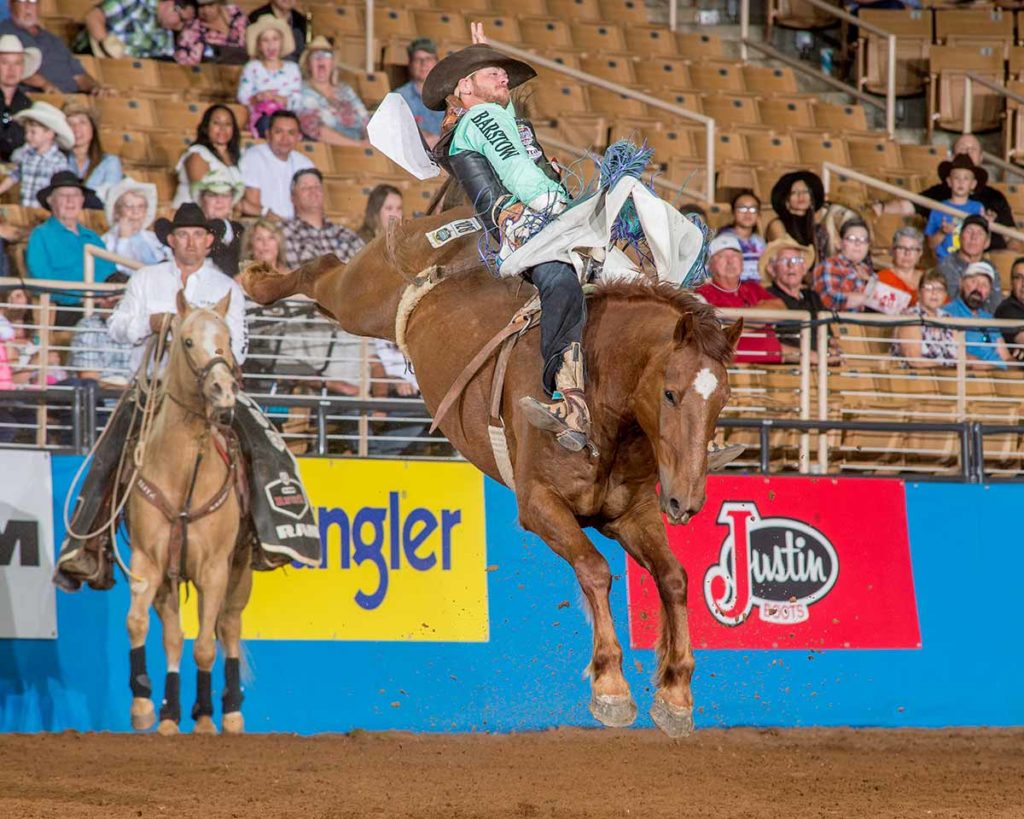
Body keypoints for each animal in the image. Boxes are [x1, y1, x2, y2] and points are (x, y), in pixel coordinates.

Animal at [125, 292, 249, 737]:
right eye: (188, 340)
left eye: (228, 340)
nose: (223, 389)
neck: (182, 473)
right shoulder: (148, 561)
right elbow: (139, 624)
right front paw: (145, 705)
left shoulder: (213, 569)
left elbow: (207, 646)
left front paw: (207, 718)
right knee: (175, 637)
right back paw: (170, 713)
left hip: (239, 569)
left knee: (227, 626)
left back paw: (228, 711)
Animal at [243, 207, 741, 737]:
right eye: (670, 393)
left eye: (722, 399)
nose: (686, 501)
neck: (597, 399)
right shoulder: (539, 505)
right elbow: (595, 569)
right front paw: (609, 685)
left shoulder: (632, 514)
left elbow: (673, 578)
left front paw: (675, 692)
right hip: (364, 294)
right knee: (322, 270)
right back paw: (256, 280)